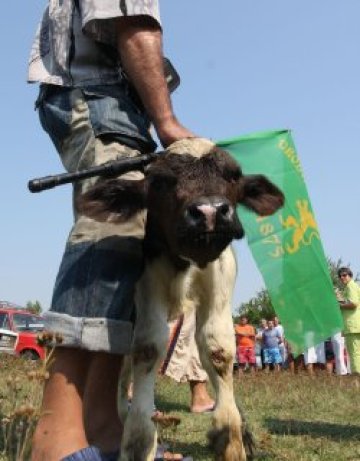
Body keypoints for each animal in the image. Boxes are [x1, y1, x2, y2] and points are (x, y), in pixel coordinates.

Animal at [79, 137, 284, 460]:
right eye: (159, 181)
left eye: (234, 175)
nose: (210, 212)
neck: (184, 263)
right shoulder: (146, 286)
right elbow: (148, 347)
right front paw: (138, 438)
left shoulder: (219, 283)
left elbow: (217, 349)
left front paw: (231, 436)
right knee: (124, 369)